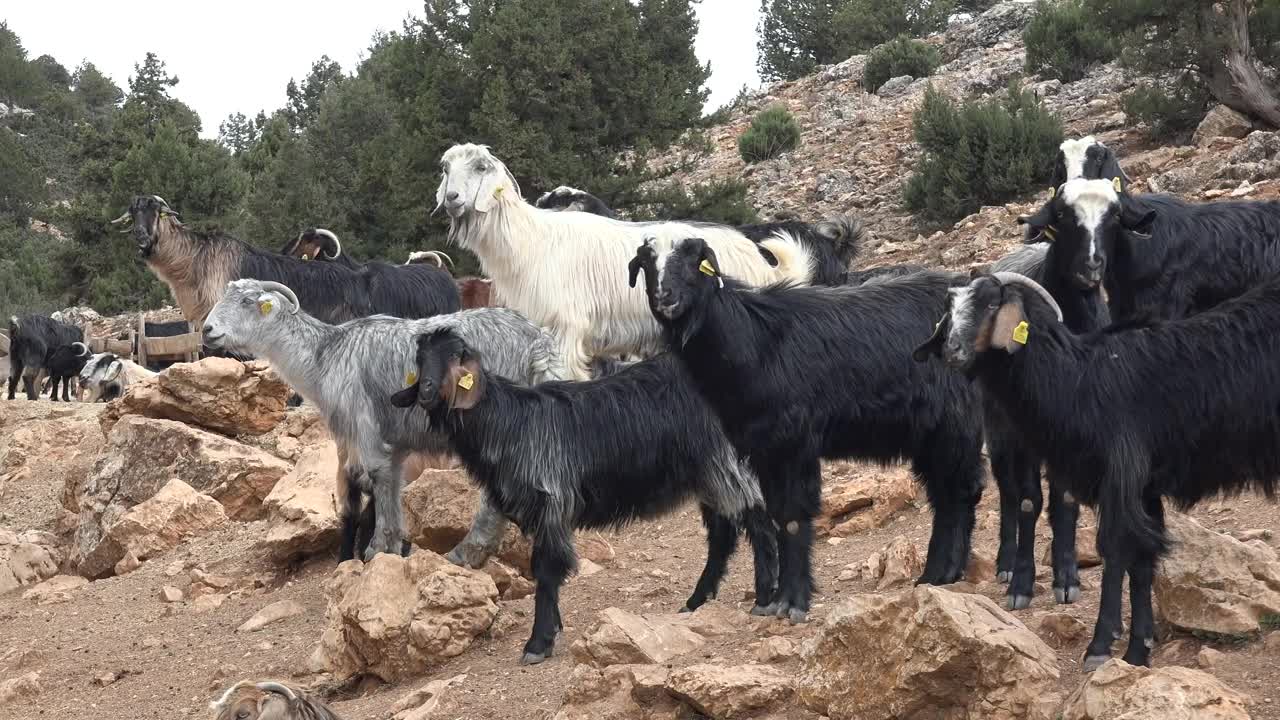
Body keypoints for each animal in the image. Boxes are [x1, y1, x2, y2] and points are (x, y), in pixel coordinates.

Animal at [203, 279, 560, 565]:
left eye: (247, 302)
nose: (207, 330)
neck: (324, 357)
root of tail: (537, 342)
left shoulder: (363, 424)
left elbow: (377, 477)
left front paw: (376, 548)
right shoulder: (396, 439)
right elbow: (390, 481)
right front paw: (394, 543)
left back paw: (466, 552)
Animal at [391, 330, 776, 665]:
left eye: (457, 358)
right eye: (420, 359)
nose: (426, 391)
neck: (509, 424)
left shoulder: (552, 500)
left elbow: (547, 568)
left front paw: (538, 643)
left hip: (727, 463)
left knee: (758, 522)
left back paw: (764, 598)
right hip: (709, 472)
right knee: (723, 533)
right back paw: (697, 601)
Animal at [437, 144, 816, 380]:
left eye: (480, 166)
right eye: (446, 168)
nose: (452, 198)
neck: (529, 243)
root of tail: (758, 257)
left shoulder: (564, 329)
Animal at [630, 238, 987, 622]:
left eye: (693, 260)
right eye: (646, 262)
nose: (665, 296)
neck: (754, 338)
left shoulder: (793, 443)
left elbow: (794, 516)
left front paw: (792, 603)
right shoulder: (764, 450)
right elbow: (778, 514)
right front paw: (776, 601)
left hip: (955, 425)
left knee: (959, 492)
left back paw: (938, 574)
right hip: (931, 434)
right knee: (947, 495)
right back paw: (940, 575)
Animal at [915, 270, 1280, 671]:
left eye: (992, 303)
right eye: (951, 307)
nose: (952, 350)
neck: (1078, 381)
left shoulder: (1121, 474)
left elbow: (1116, 549)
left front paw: (1101, 646)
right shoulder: (1144, 488)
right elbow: (1143, 560)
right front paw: (1139, 650)